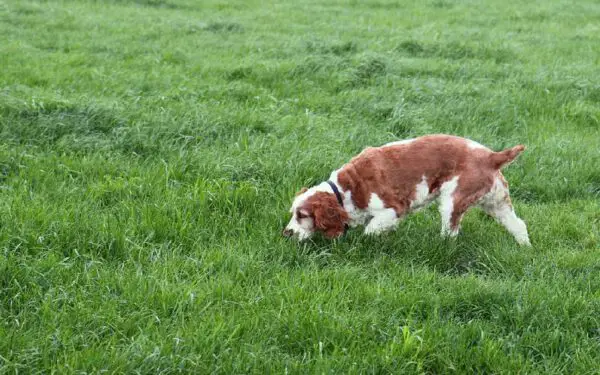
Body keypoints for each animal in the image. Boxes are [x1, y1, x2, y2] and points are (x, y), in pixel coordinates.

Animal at [284, 135, 532, 247]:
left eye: (302, 215)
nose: (286, 233)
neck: (347, 189)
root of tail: (491, 156)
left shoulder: (392, 208)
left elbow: (371, 229)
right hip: (497, 202)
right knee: (518, 225)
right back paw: (525, 248)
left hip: (453, 201)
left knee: (451, 233)